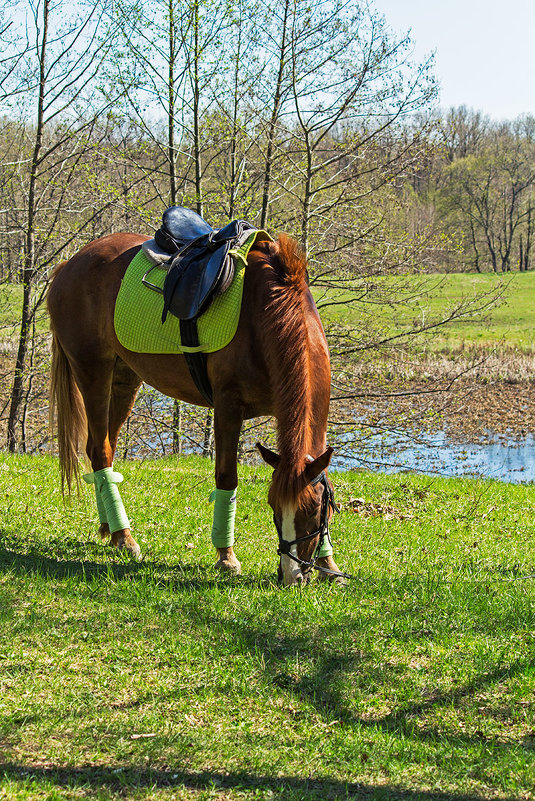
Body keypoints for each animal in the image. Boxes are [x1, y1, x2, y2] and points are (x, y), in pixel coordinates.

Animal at [47, 228, 348, 584]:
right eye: (274, 508)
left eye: (315, 511)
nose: (291, 575)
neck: (265, 315)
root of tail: (69, 264)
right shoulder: (228, 408)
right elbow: (227, 478)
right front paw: (226, 556)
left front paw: (329, 564)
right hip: (93, 371)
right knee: (99, 450)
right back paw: (124, 535)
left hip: (124, 379)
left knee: (102, 447)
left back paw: (109, 526)